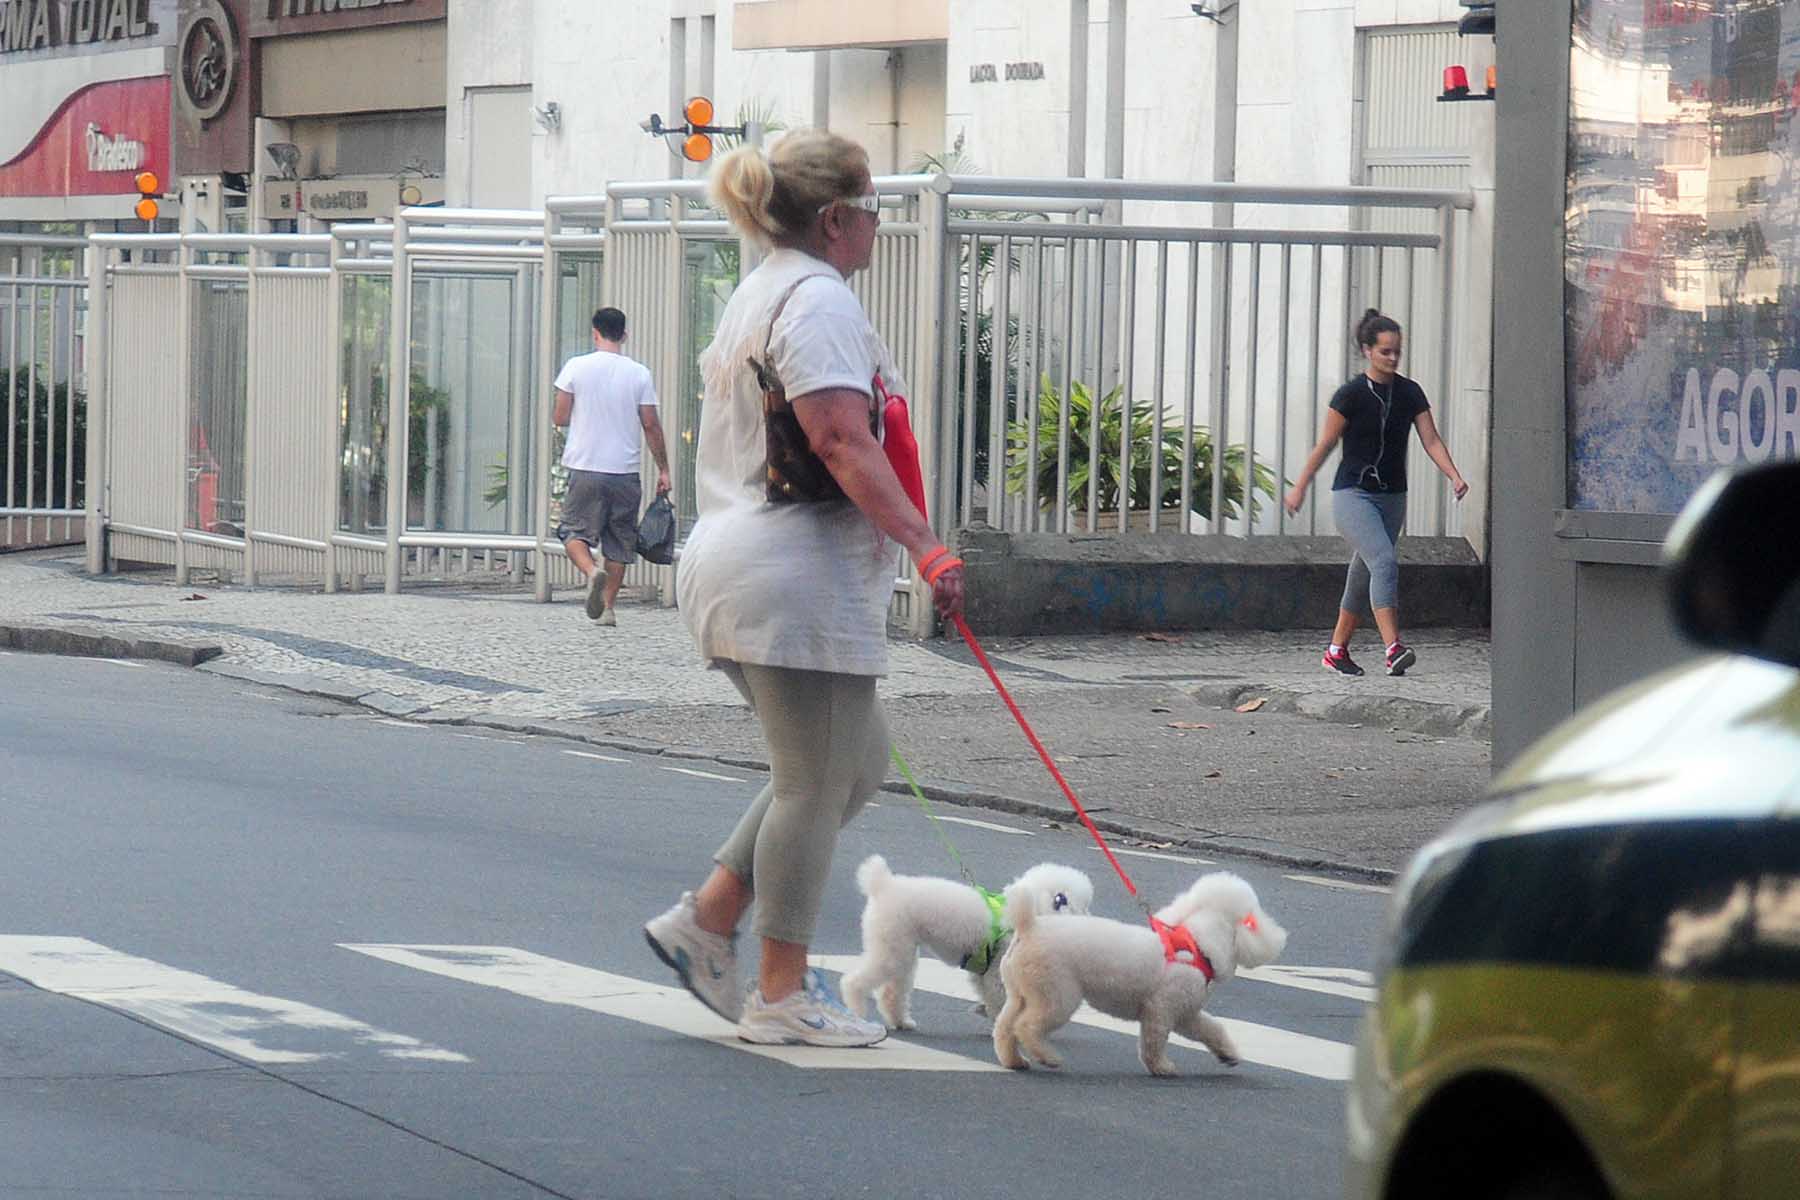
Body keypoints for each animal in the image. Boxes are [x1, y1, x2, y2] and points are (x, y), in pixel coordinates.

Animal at [835, 852, 1087, 1036]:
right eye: (1063, 900)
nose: (1086, 917)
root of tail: (883, 884)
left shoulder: (984, 971)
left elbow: (987, 994)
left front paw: (985, 1012)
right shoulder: (996, 970)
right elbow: (1000, 998)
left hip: (900, 946)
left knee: (892, 991)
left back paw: (901, 1021)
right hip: (891, 944)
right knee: (854, 982)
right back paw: (857, 1012)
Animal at [993, 867, 1288, 1072]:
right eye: (1252, 922)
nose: (1279, 937)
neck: (1198, 945)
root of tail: (1029, 926)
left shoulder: (1186, 1012)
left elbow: (1210, 1028)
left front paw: (1228, 1054)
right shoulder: (1161, 1009)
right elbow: (1154, 1041)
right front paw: (1161, 1067)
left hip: (1021, 992)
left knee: (1005, 1027)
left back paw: (1014, 1061)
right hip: (1057, 994)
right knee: (1026, 1026)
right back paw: (1048, 1057)